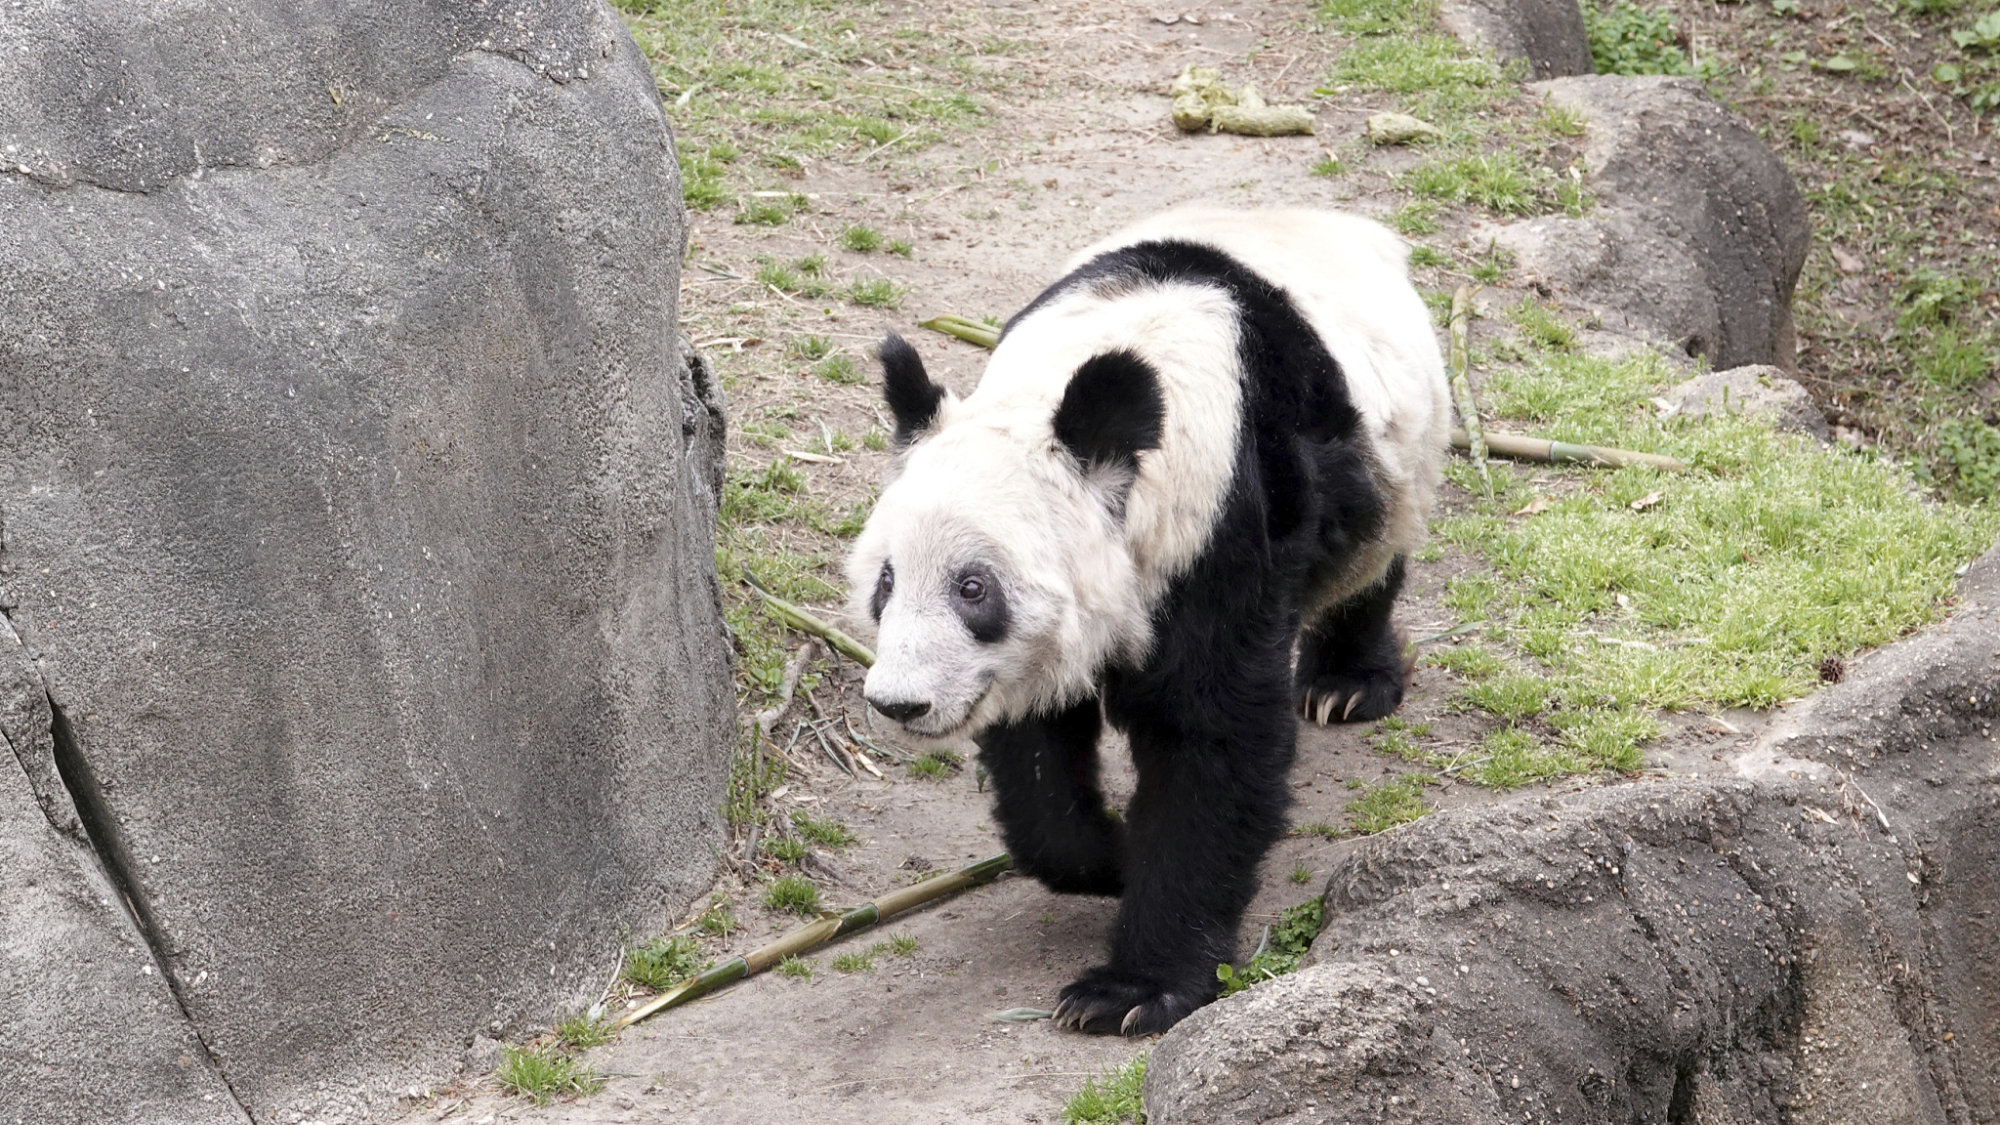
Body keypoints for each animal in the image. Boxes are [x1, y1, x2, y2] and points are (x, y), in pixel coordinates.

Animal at [848, 206, 1456, 1032]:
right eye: (886, 581)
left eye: (974, 588)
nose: (899, 702)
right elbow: (1035, 753)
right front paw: (1105, 857)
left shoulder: (1216, 525)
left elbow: (1211, 739)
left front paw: (1131, 990)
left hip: (1394, 450)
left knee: (1371, 555)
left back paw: (1347, 683)